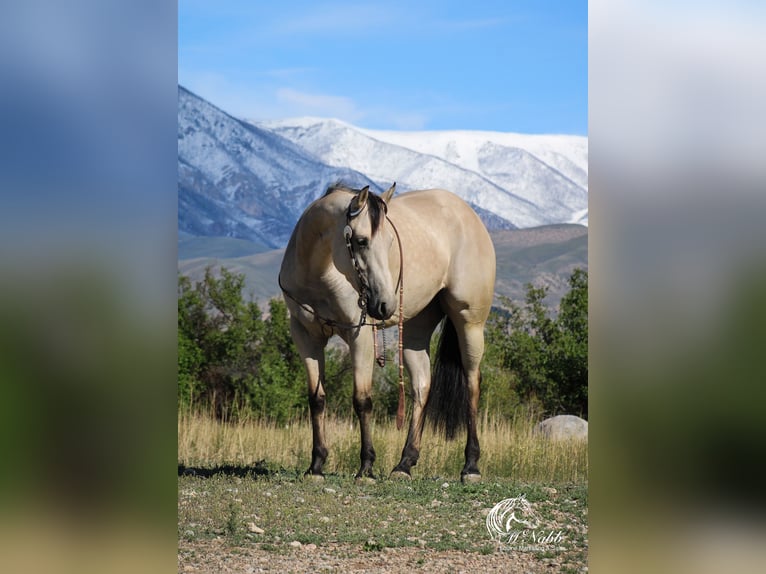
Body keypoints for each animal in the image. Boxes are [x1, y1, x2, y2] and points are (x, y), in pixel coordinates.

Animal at [278, 182, 498, 484]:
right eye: (360, 241)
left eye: (391, 242)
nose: (385, 304)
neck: (318, 274)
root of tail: (469, 214)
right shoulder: (305, 336)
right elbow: (317, 398)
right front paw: (316, 466)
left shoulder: (359, 335)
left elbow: (362, 400)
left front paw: (366, 468)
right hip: (415, 331)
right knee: (421, 388)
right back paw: (404, 464)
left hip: (470, 323)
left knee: (472, 383)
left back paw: (471, 466)